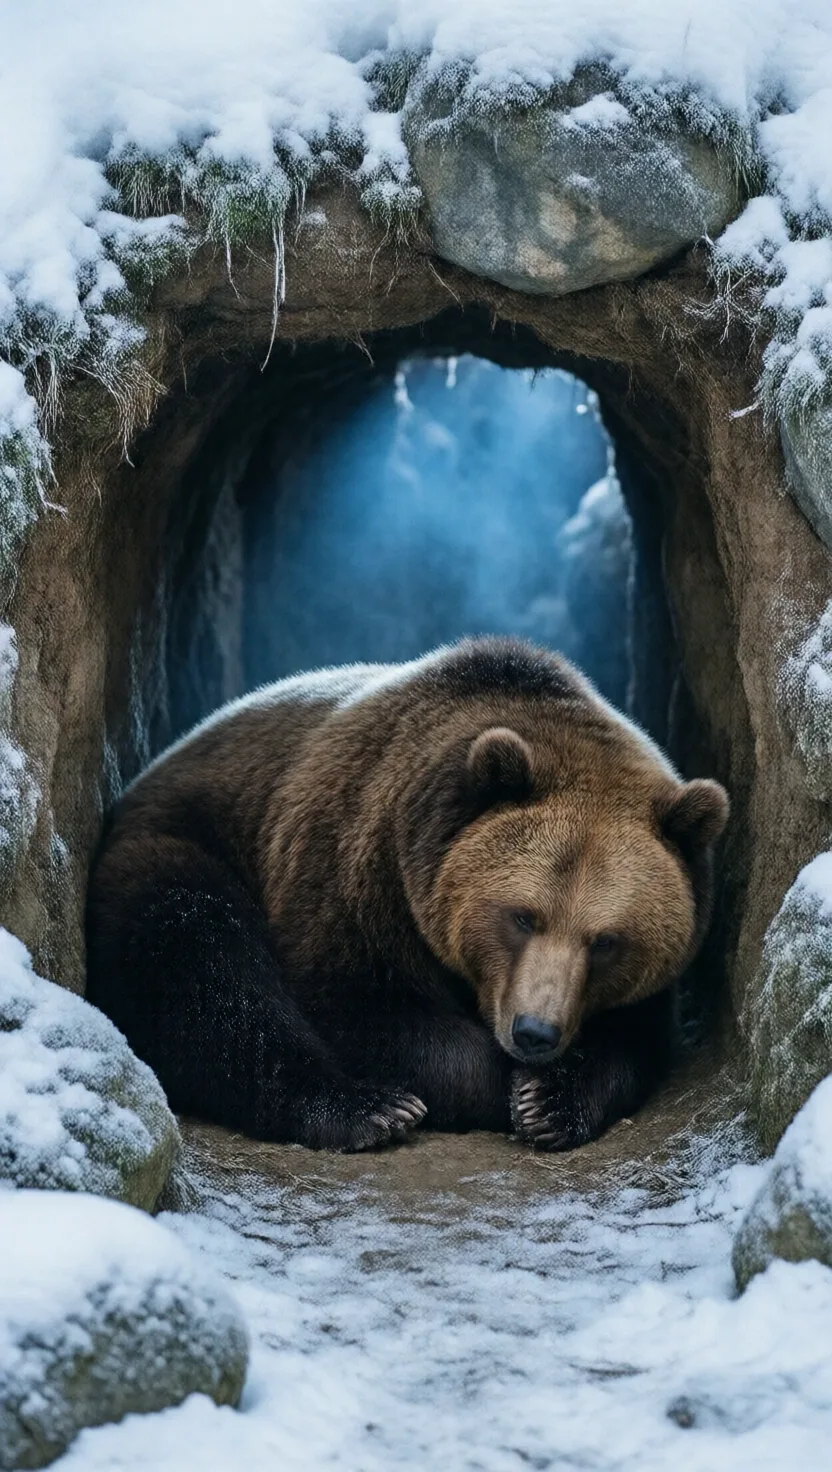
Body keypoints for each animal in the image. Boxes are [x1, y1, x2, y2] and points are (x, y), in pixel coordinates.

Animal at [85, 637, 729, 1153]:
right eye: (522, 917)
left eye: (606, 941)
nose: (534, 1033)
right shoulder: (352, 866)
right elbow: (362, 1011)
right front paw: (492, 1086)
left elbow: (634, 1039)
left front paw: (548, 1102)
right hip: (181, 845)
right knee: (202, 966)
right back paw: (364, 1109)